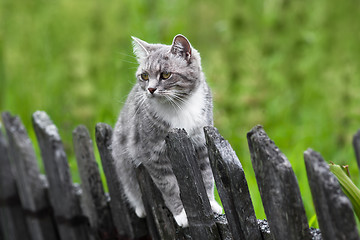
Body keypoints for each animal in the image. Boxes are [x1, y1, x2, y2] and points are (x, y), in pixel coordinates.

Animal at [112, 34, 222, 227]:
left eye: (165, 74)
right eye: (144, 76)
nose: (150, 89)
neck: (178, 107)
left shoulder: (201, 145)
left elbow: (207, 178)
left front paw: (211, 203)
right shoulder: (153, 154)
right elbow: (169, 186)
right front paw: (181, 214)